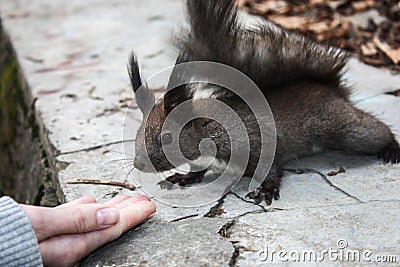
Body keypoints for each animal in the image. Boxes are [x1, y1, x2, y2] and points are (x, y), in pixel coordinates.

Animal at [130, 0, 398, 205]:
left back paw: (392, 148)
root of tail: (330, 88)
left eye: (167, 137)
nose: (138, 164)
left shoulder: (258, 139)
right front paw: (184, 177)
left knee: (375, 131)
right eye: (137, 133)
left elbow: (272, 167)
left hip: (343, 129)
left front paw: (266, 189)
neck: (209, 128)